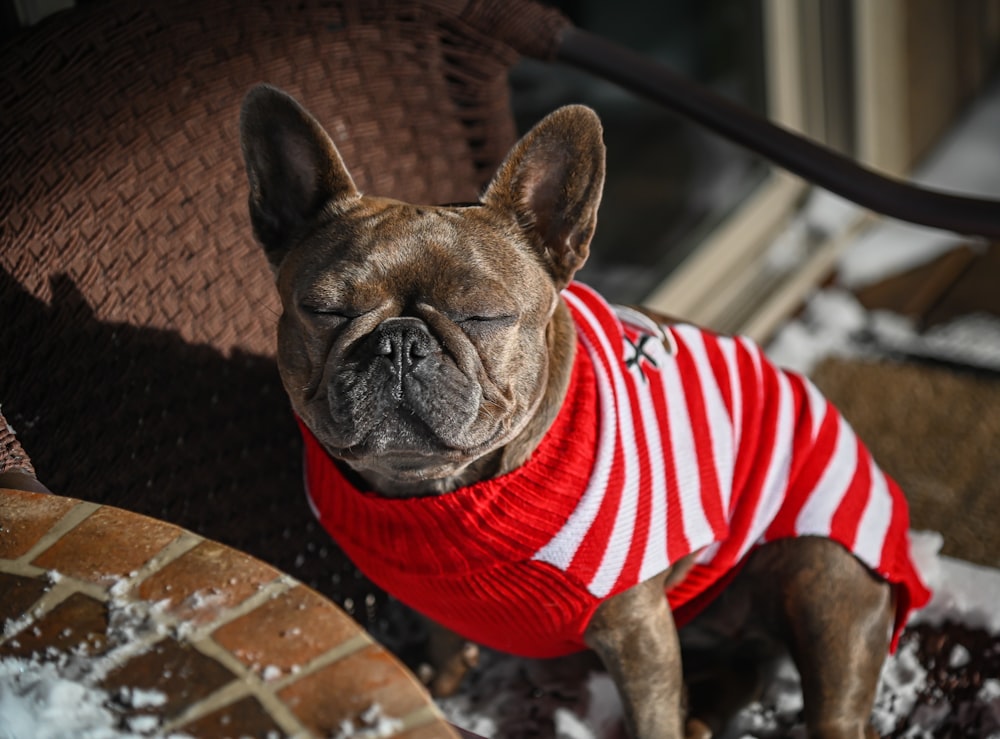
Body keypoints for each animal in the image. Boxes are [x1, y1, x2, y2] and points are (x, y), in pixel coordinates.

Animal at [240, 84, 928, 736]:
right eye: (324, 310)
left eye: (482, 316)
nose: (401, 343)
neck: (438, 495)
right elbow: (443, 643)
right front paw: (439, 684)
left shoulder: (636, 630)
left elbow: (652, 718)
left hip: (824, 578)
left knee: (833, 706)